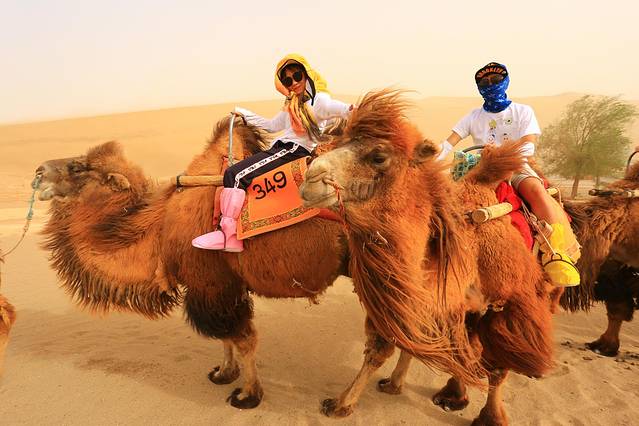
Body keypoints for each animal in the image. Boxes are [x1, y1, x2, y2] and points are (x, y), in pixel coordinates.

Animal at [35, 117, 349, 408]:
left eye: (78, 167)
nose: (39, 171)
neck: (160, 231)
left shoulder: (211, 283)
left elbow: (243, 339)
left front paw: (247, 395)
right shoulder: (218, 288)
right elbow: (227, 337)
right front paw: (224, 373)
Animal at [300, 90, 555, 425]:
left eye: (378, 156)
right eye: (329, 145)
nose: (310, 178)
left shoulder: (511, 302)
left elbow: (498, 367)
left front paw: (491, 416)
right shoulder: (424, 298)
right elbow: (385, 346)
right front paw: (347, 401)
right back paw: (451, 392)